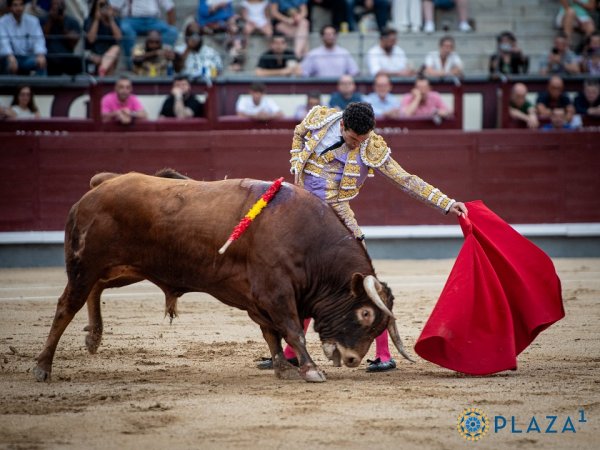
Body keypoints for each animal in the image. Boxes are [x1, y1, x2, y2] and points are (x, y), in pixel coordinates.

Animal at [34, 171, 412, 382]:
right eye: (365, 313)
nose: (352, 360)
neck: (305, 239)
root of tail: (101, 186)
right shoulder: (275, 292)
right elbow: (292, 330)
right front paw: (309, 370)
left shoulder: (257, 298)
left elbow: (272, 334)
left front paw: (282, 368)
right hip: (85, 265)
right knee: (66, 307)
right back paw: (43, 368)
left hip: (124, 268)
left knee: (96, 290)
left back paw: (93, 337)